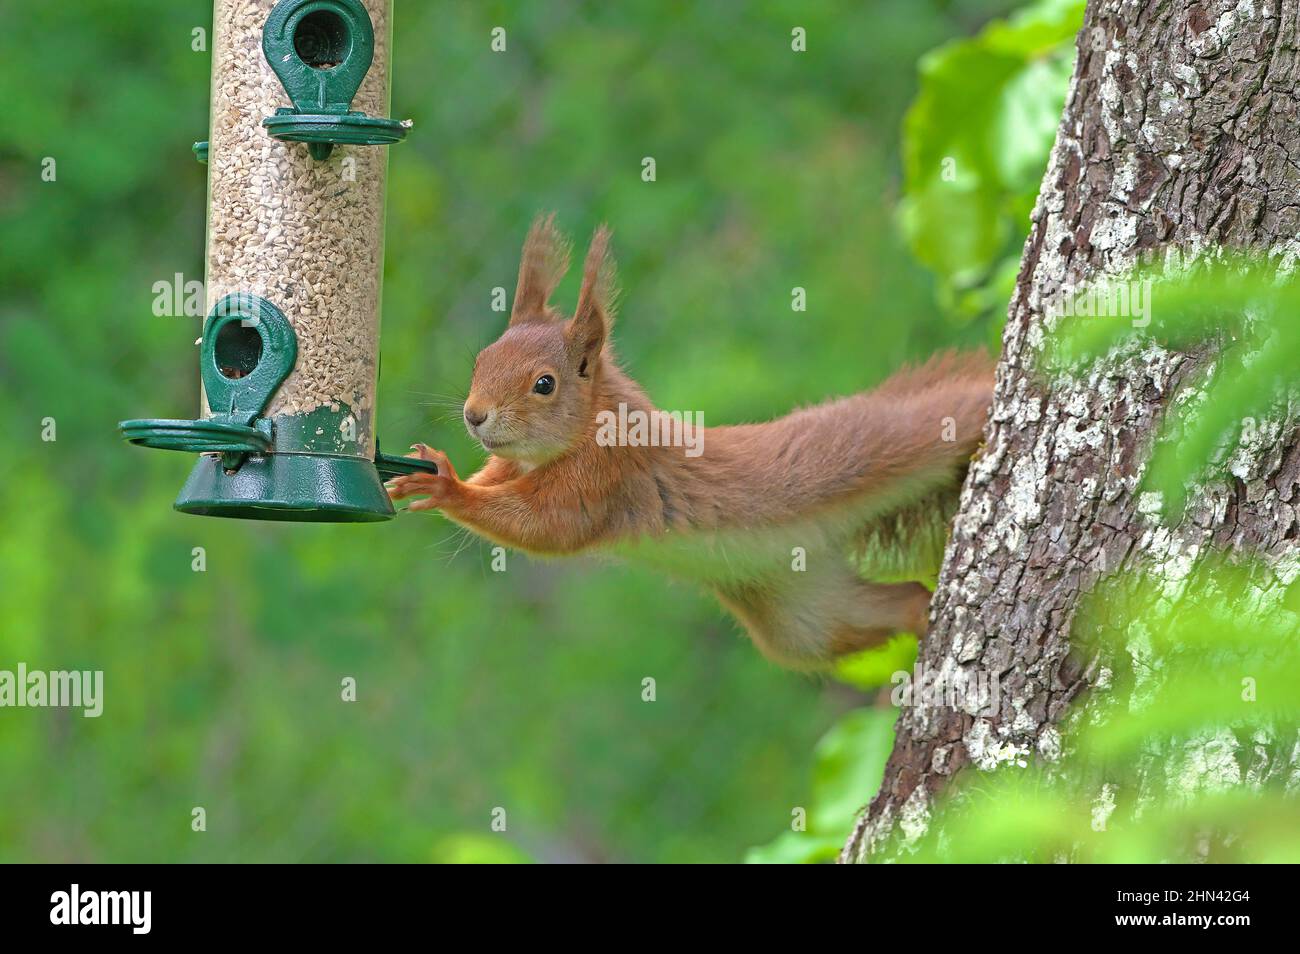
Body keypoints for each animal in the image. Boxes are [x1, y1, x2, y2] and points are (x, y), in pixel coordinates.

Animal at [387, 217, 993, 670]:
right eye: (481, 360)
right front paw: (423, 473)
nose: (474, 415)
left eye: (544, 384)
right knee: (888, 605)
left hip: (883, 440)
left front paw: (447, 489)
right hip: (804, 613)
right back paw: (921, 617)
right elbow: (496, 480)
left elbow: (548, 527)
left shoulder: (606, 474)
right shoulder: (513, 464)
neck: (589, 427)